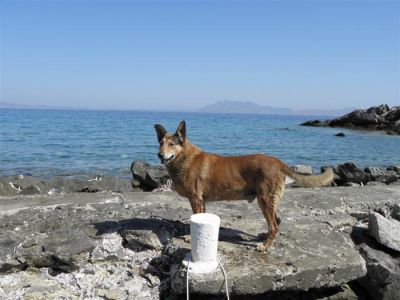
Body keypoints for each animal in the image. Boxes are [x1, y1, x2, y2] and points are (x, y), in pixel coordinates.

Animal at [154, 120, 334, 252]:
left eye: (171, 144)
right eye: (161, 143)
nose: (159, 155)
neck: (185, 158)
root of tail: (279, 162)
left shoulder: (195, 199)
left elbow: (196, 219)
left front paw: (191, 237)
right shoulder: (201, 201)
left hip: (264, 200)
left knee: (274, 225)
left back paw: (264, 246)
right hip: (269, 201)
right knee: (277, 221)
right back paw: (263, 236)